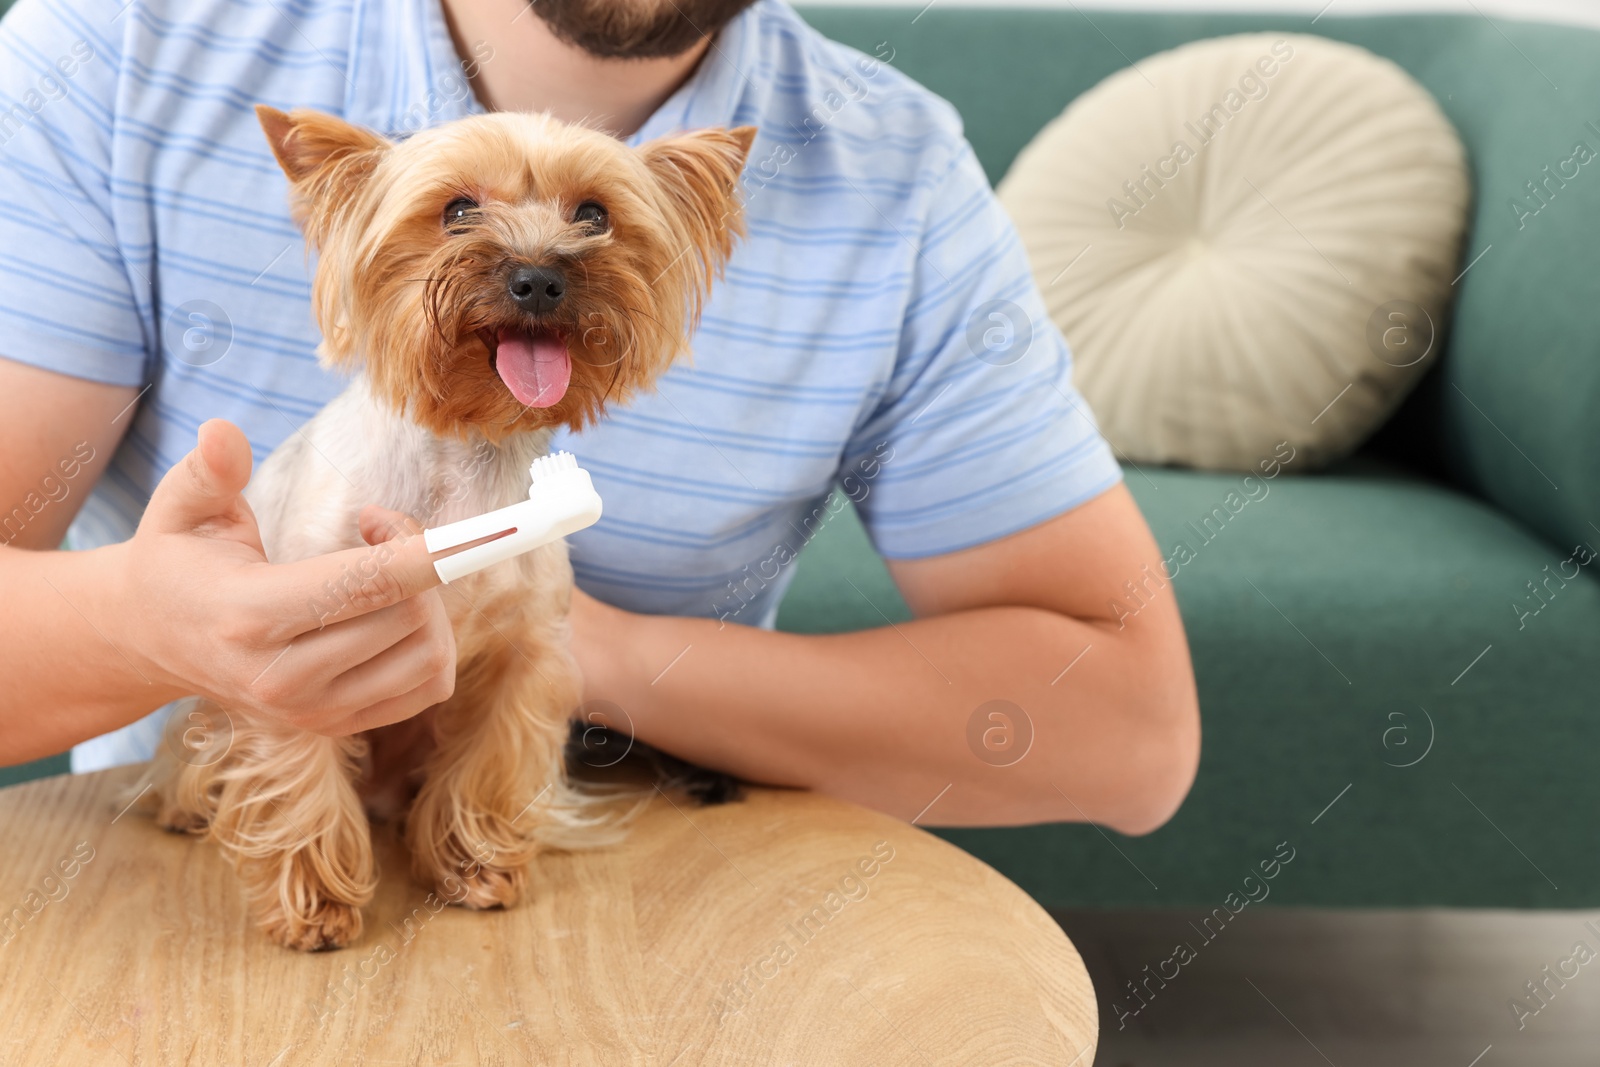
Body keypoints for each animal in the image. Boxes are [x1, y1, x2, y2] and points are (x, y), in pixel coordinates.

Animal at [139, 102, 755, 953]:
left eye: (594, 214)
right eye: (458, 209)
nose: (539, 276)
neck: (471, 456)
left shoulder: (526, 653)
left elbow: (488, 760)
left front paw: (475, 866)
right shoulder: (287, 657)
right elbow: (298, 770)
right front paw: (315, 900)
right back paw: (186, 802)